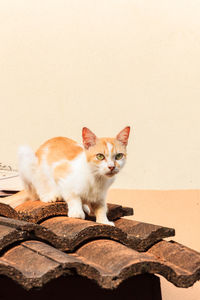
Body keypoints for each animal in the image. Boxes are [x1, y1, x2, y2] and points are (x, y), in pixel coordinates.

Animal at [3, 126, 131, 225]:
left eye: (119, 156)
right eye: (100, 156)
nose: (111, 167)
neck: (96, 178)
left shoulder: (101, 195)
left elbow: (101, 207)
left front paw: (104, 221)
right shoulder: (60, 172)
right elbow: (72, 195)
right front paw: (76, 212)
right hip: (27, 157)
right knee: (39, 186)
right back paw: (50, 196)